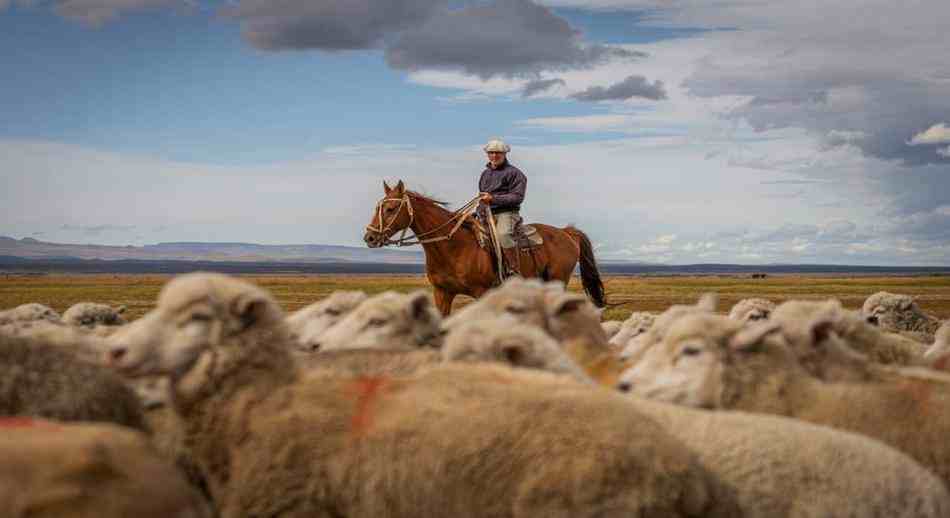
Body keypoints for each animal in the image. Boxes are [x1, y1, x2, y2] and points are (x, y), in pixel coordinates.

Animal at [360, 181, 608, 314]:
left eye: (391, 209)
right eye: (377, 207)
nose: (369, 237)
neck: (450, 247)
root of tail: (566, 232)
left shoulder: (481, 292)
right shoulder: (442, 293)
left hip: (558, 279)